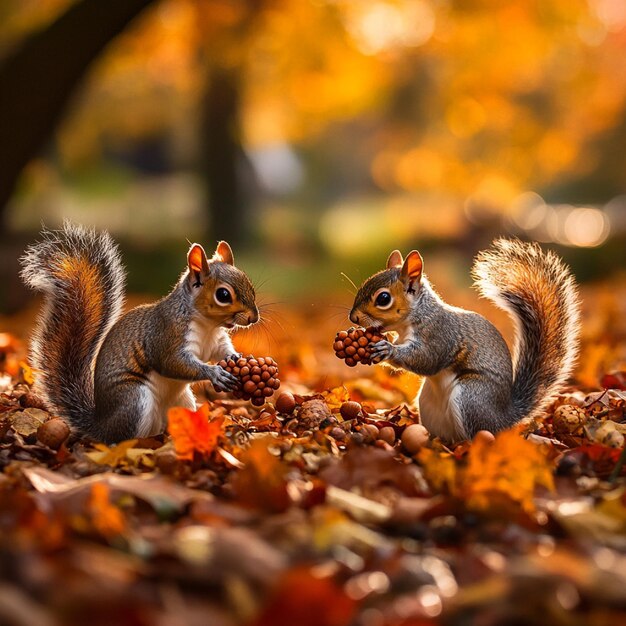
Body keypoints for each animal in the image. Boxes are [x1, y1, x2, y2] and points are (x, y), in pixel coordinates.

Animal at [20, 222, 258, 442]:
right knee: (124, 439)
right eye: (223, 295)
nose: (253, 318)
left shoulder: (216, 340)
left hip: (182, 403)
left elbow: (222, 350)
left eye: (251, 287)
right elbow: (173, 363)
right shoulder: (166, 334)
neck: (208, 325)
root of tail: (100, 425)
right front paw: (214, 373)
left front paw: (235, 357)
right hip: (134, 400)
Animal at [348, 238, 576, 438]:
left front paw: (388, 350)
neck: (418, 315)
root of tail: (504, 418)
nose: (353, 317)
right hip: (429, 404)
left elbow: (426, 360)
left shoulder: (440, 335)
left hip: (471, 398)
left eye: (383, 298)